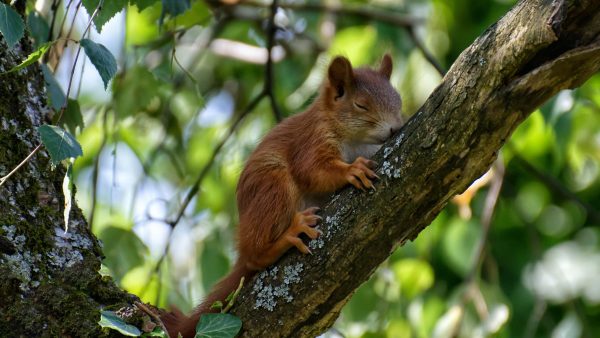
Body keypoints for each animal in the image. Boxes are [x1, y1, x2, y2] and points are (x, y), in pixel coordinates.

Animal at [161, 54, 404, 336]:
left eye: (398, 100)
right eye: (361, 105)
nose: (395, 128)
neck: (354, 139)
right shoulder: (311, 141)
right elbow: (312, 170)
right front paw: (351, 170)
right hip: (273, 187)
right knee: (254, 257)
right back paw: (288, 235)